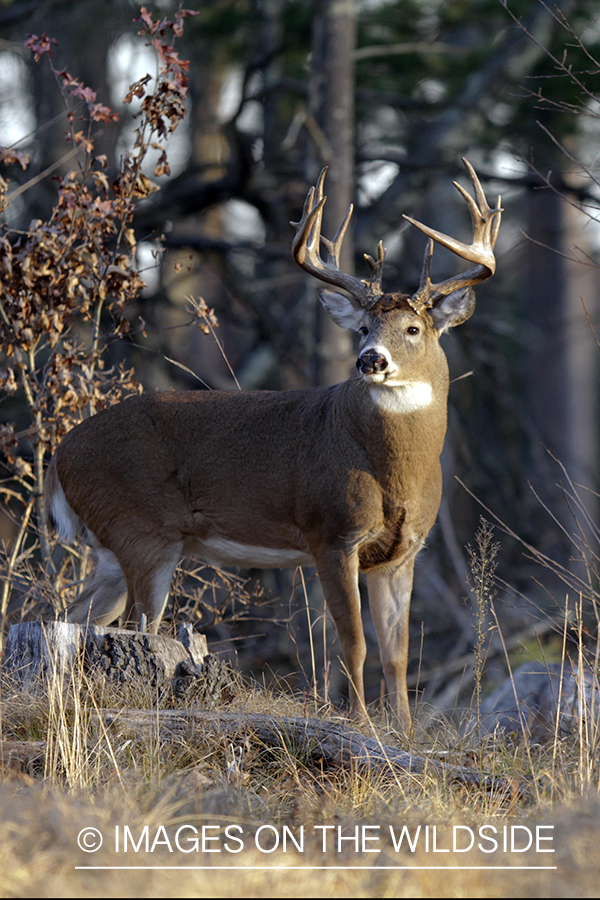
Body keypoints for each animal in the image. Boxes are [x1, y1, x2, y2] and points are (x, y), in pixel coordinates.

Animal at [44, 158, 500, 728]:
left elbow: (397, 653)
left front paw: (405, 732)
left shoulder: (403, 550)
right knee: (133, 625)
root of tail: (59, 455)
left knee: (69, 617)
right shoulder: (331, 532)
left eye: (414, 328)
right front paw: (362, 724)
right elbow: (354, 643)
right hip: (141, 530)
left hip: (113, 548)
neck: (394, 470)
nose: (371, 359)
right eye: (363, 326)